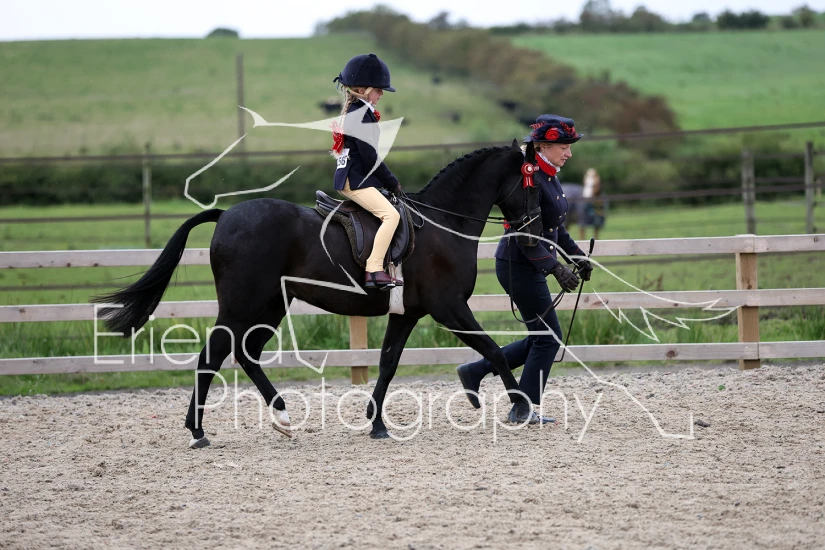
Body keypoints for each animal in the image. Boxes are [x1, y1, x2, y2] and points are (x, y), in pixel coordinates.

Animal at [93, 142, 542, 446]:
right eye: (534, 182)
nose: (535, 224)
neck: (442, 224)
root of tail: (227, 216)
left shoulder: (407, 313)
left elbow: (388, 364)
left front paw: (376, 423)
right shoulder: (449, 307)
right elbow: (493, 349)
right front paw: (522, 407)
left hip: (270, 305)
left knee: (245, 353)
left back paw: (281, 417)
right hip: (243, 305)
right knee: (214, 354)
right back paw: (199, 431)